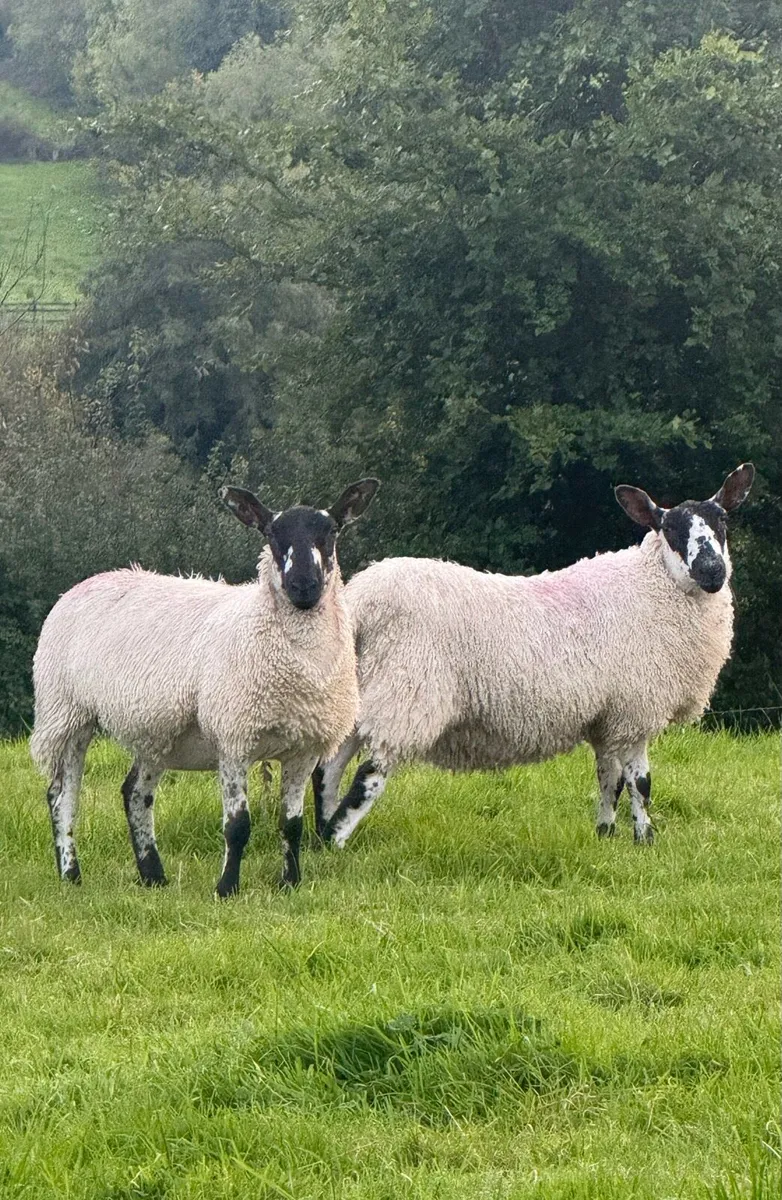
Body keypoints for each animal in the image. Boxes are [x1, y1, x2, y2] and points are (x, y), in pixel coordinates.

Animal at [30, 478, 379, 893]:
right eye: (271, 534)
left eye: (330, 532)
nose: (303, 586)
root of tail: (85, 583)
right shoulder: (233, 738)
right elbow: (238, 826)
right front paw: (227, 888)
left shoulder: (304, 747)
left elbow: (291, 825)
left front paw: (290, 884)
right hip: (66, 711)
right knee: (62, 796)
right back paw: (71, 874)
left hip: (156, 730)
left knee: (135, 793)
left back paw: (153, 876)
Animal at [313, 465, 754, 848]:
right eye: (670, 529)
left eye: (722, 522)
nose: (712, 571)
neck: (653, 585)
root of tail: (362, 599)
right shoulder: (635, 710)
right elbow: (640, 783)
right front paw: (645, 840)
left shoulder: (608, 717)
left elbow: (608, 778)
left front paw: (604, 835)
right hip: (408, 693)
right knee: (368, 775)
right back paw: (335, 841)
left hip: (360, 689)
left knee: (327, 769)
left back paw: (320, 835)